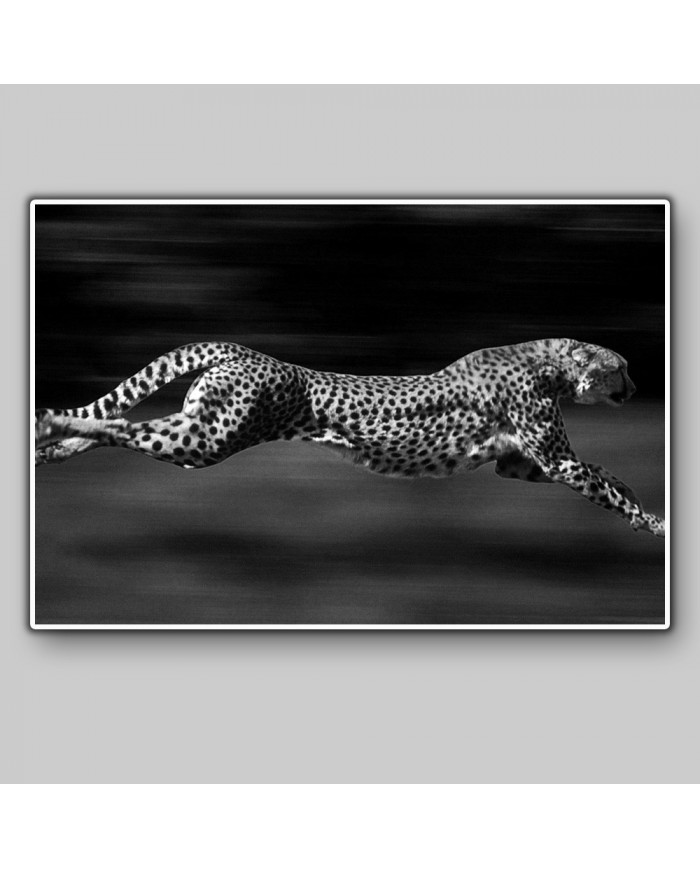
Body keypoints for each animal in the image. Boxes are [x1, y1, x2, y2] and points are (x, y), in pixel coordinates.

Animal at [34, 337, 665, 537]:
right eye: (622, 367)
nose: (637, 387)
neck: (550, 361)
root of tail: (241, 349)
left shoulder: (522, 466)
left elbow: (607, 475)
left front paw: (639, 502)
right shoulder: (554, 463)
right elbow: (603, 484)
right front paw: (654, 523)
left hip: (199, 430)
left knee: (123, 427)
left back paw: (53, 446)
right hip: (209, 440)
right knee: (121, 425)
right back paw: (53, 426)